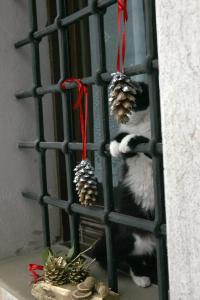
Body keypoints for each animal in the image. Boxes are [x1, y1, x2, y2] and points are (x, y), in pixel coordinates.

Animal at [92, 82, 158, 288]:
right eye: (115, 104)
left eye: (129, 102)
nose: (119, 113)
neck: (141, 124)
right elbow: (122, 136)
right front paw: (116, 144)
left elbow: (145, 141)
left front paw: (129, 141)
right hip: (129, 237)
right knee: (130, 258)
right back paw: (141, 278)